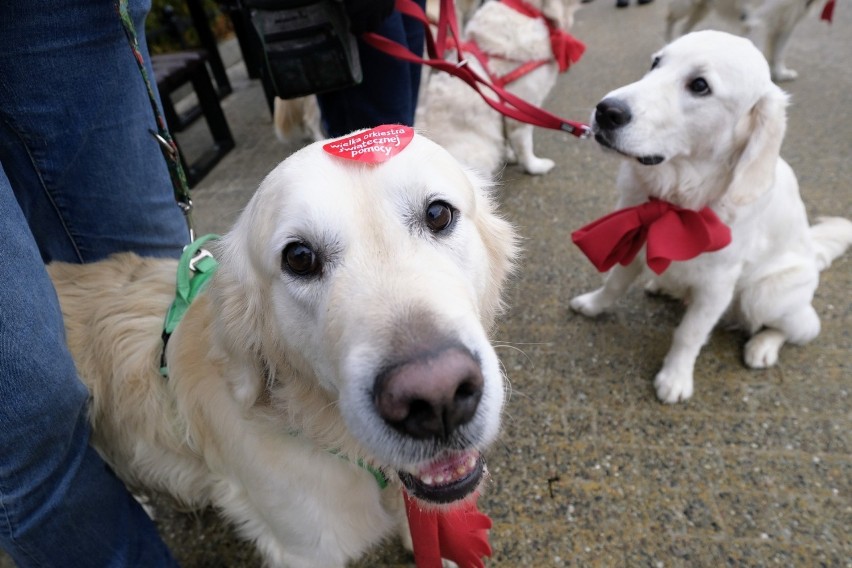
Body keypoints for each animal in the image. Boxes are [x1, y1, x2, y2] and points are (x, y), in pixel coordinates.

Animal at [568, 31, 852, 404]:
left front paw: (674, 378)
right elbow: (614, 282)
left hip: (764, 294)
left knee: (803, 327)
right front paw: (593, 305)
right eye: (656, 62)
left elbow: (689, 333)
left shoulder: (717, 285)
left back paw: (762, 346)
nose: (606, 111)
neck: (676, 196)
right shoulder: (634, 236)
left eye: (700, 85)